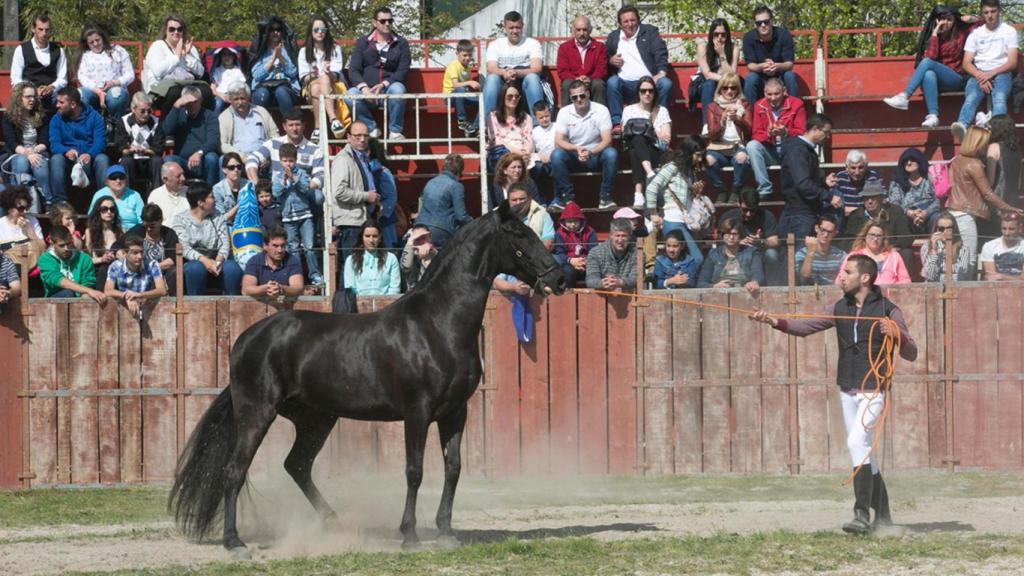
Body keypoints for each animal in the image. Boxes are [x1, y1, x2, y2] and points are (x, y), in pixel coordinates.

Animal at [168, 200, 569, 553]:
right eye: (519, 234)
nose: (560, 278)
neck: (437, 325)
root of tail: (247, 340)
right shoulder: (417, 412)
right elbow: (414, 470)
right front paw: (409, 536)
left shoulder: (456, 412)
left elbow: (453, 468)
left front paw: (445, 532)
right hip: (258, 414)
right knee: (235, 470)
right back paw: (234, 542)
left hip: (315, 419)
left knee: (296, 465)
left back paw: (335, 523)